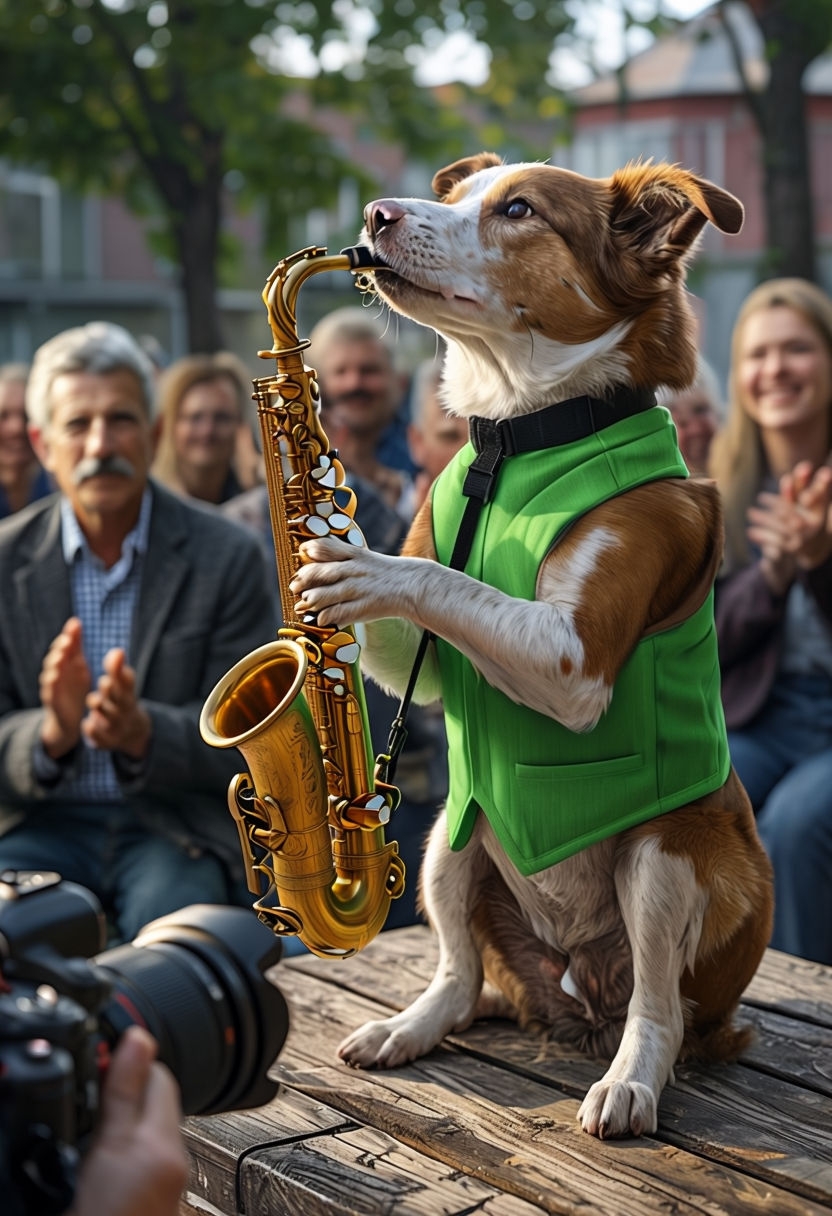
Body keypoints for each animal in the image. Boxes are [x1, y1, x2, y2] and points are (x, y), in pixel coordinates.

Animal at [290, 154, 773, 1138]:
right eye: (461, 193)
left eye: (518, 210)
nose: (375, 214)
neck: (516, 436)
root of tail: (571, 990)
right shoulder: (425, 667)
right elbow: (398, 632)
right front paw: (321, 538)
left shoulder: (573, 660)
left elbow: (447, 582)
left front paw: (359, 560)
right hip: (448, 837)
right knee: (460, 971)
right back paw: (409, 1027)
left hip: (665, 860)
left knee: (660, 1010)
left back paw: (629, 1083)